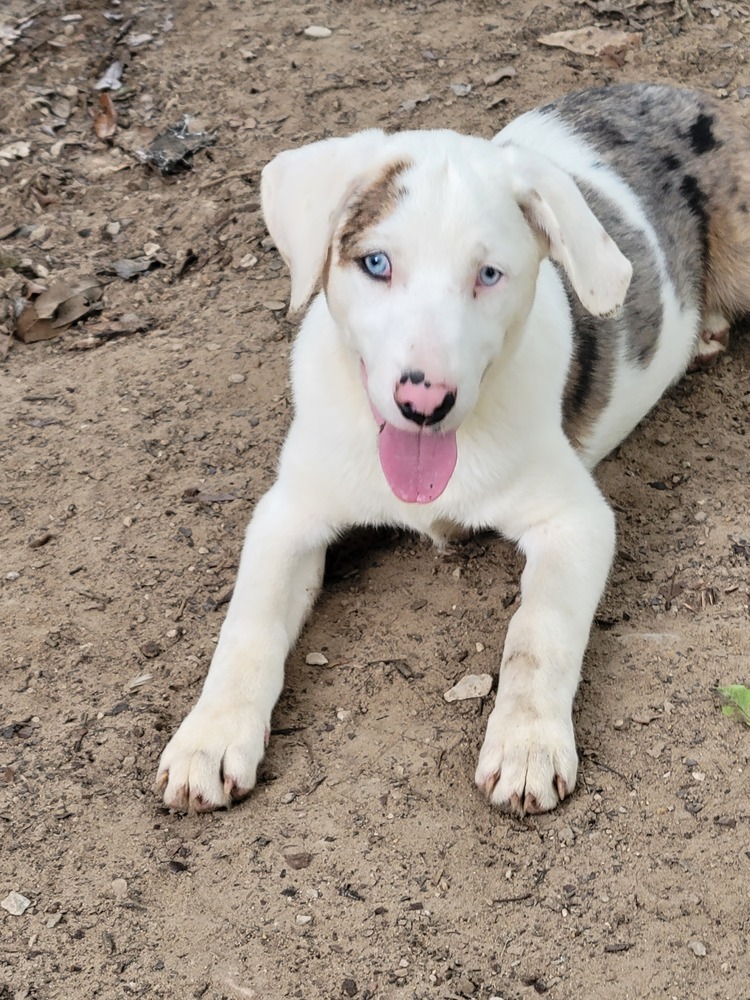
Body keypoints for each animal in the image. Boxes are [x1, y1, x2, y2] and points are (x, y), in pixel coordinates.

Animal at [157, 86, 750, 816]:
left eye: (489, 274)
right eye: (376, 264)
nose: (424, 403)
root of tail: (696, 97)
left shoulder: (576, 521)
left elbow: (537, 632)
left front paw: (526, 743)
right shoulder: (288, 515)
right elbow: (248, 624)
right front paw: (210, 738)